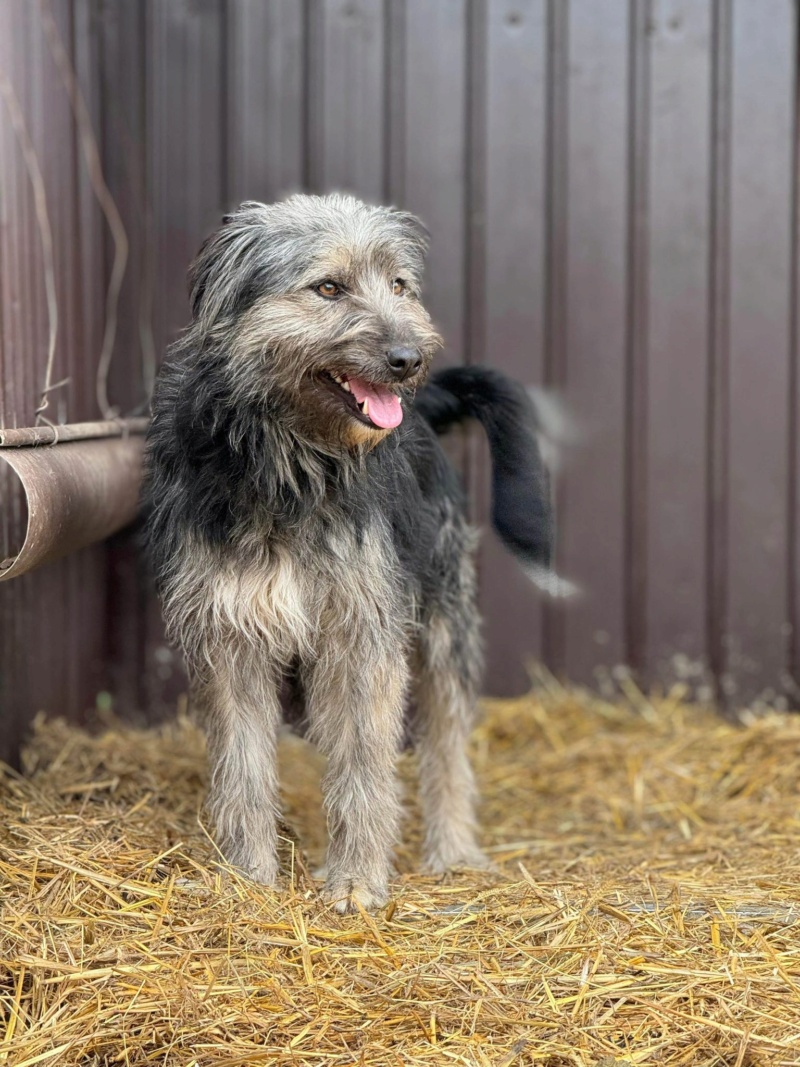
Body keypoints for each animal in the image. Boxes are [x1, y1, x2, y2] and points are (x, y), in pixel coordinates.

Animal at [140, 192, 558, 909]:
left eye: (400, 285)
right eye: (328, 288)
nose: (409, 358)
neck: (293, 464)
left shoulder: (362, 632)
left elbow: (365, 761)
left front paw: (356, 881)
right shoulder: (230, 634)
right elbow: (243, 768)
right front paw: (246, 877)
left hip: (445, 619)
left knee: (446, 742)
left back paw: (453, 850)